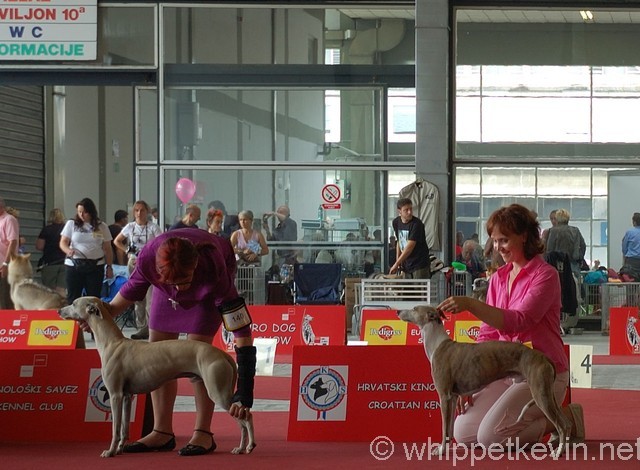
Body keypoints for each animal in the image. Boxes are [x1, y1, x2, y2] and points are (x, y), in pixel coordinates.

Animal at [60, 296, 255, 458]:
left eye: (74, 303)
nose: (59, 310)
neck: (112, 342)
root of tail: (223, 355)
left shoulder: (115, 395)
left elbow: (115, 429)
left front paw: (110, 451)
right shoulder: (127, 396)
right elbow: (124, 429)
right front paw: (121, 448)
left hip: (217, 392)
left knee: (246, 417)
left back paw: (249, 446)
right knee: (243, 418)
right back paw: (240, 448)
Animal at [398, 304, 572, 456]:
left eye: (414, 308)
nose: (398, 311)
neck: (436, 344)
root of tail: (544, 358)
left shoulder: (444, 396)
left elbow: (444, 429)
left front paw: (440, 451)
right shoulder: (452, 398)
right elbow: (450, 429)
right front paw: (446, 448)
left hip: (540, 393)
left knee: (561, 424)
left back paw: (558, 452)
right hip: (548, 393)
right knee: (565, 422)